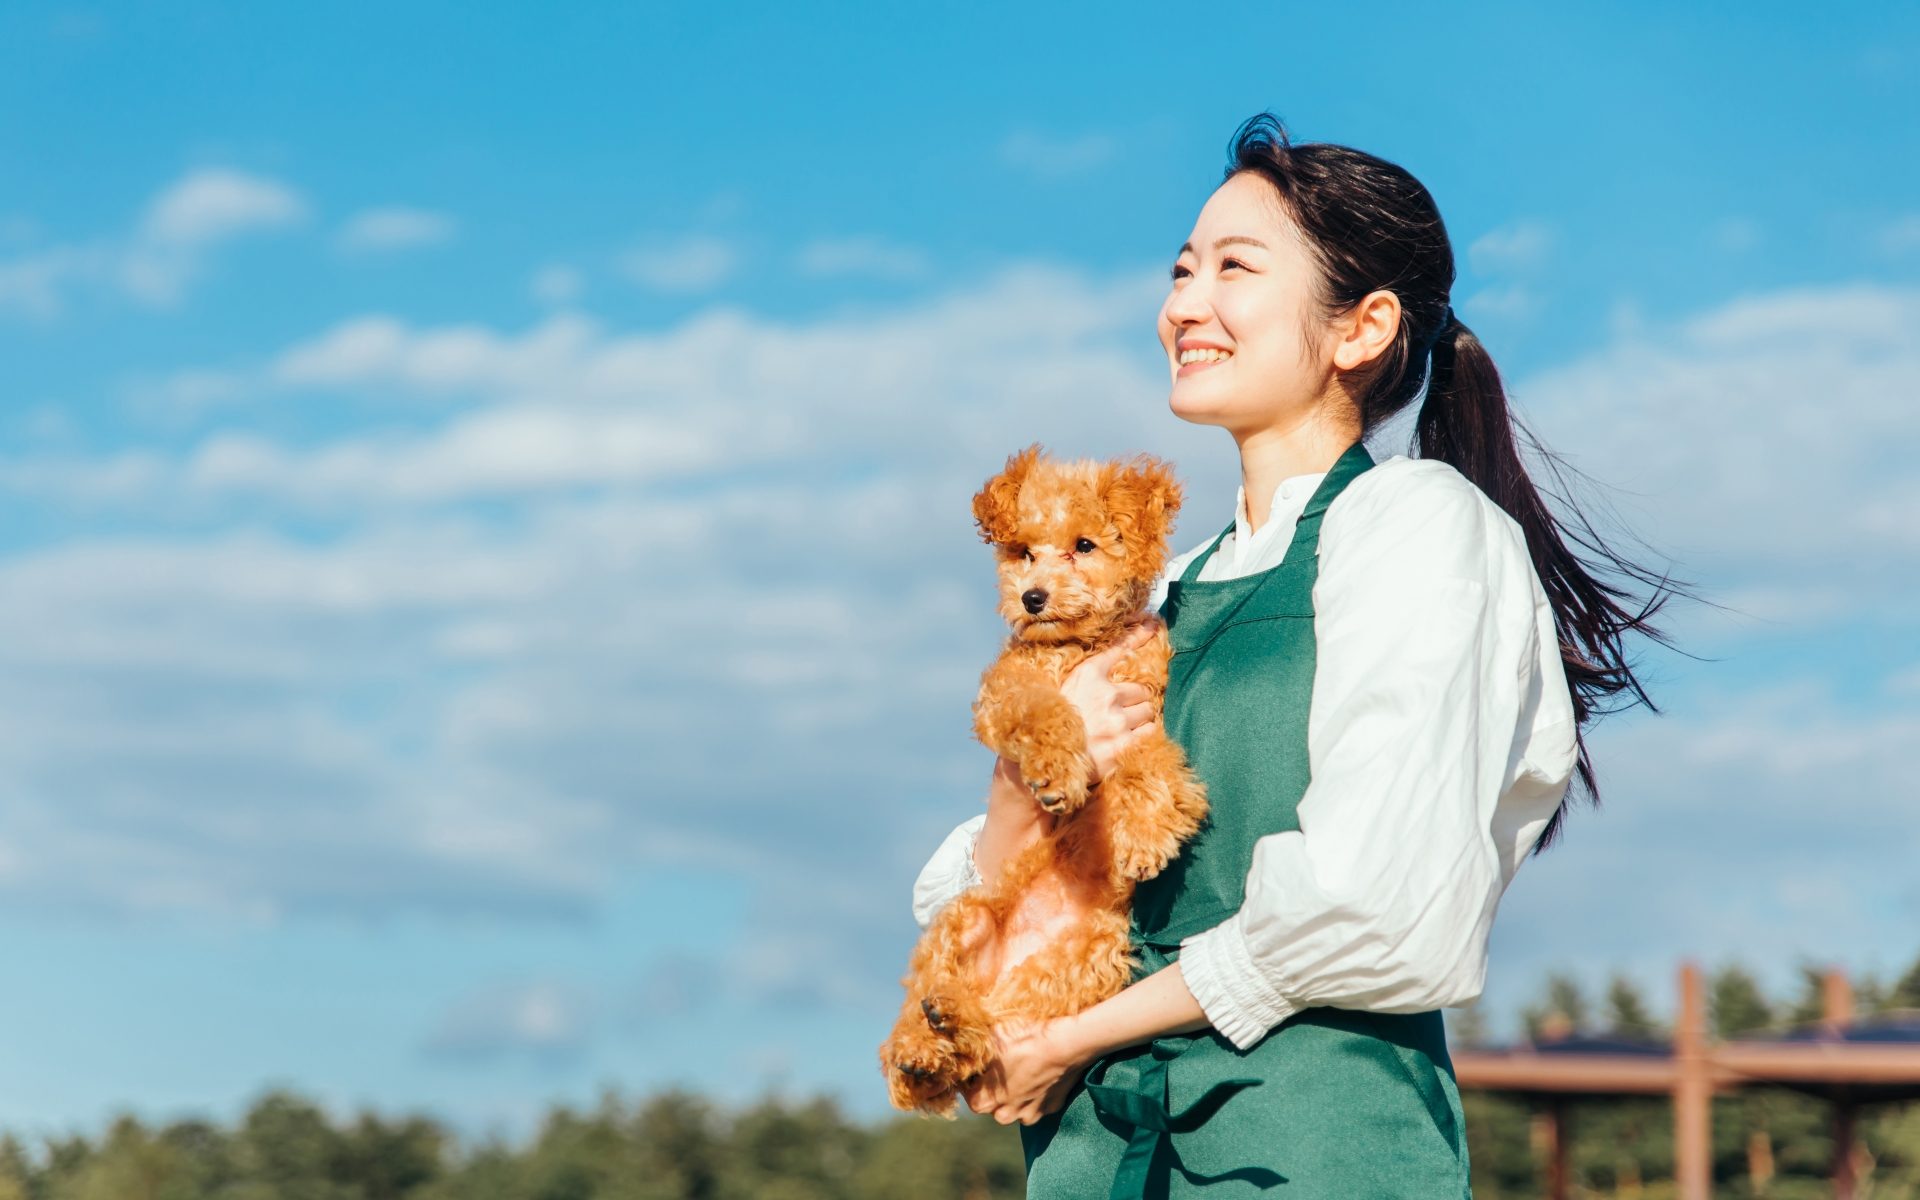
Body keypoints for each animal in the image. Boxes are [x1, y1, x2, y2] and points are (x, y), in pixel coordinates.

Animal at [879, 445, 1205, 1121]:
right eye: (1024, 551)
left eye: (1084, 545)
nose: (1032, 597)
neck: (1075, 646)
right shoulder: (1007, 690)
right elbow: (1043, 711)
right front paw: (1058, 772)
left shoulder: (1147, 707)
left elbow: (1152, 762)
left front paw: (1141, 833)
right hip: (964, 920)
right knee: (927, 1002)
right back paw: (923, 1048)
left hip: (1088, 961)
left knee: (994, 1029)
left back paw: (953, 1035)